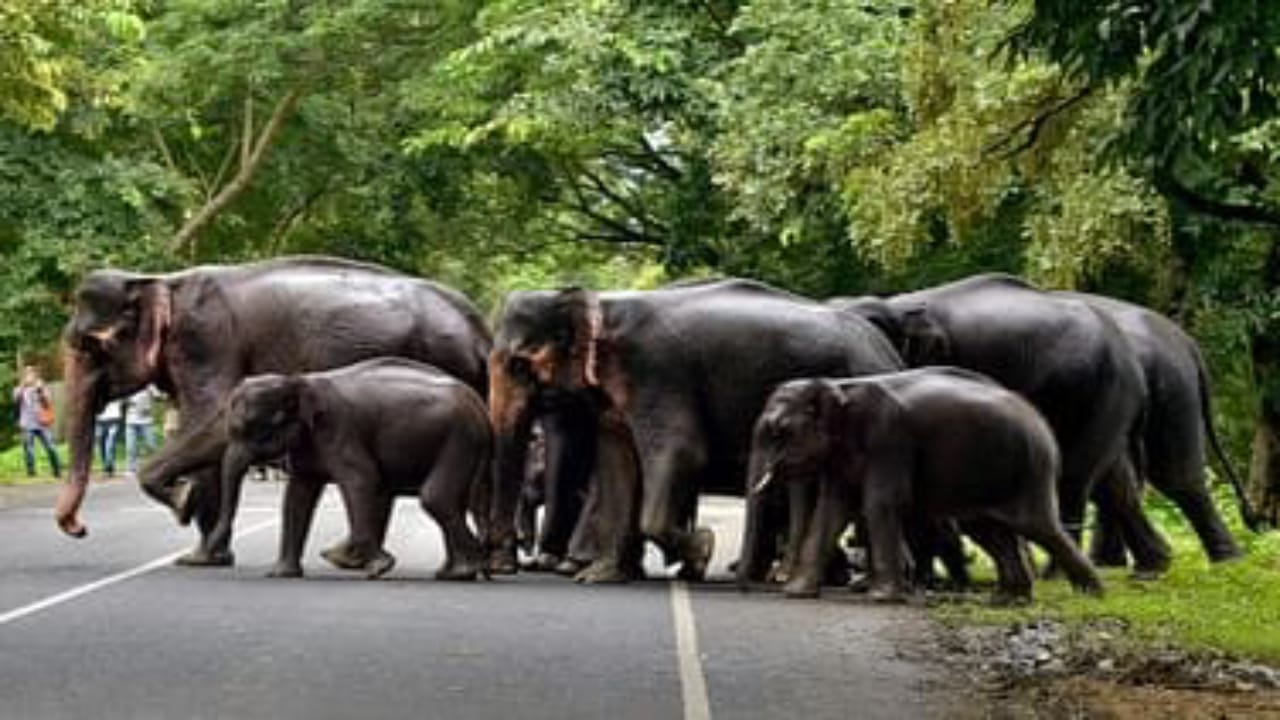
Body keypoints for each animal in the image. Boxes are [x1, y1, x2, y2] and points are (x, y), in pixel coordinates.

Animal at [210, 358, 489, 580]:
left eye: (254, 429)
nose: (217, 553)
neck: (298, 380)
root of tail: (479, 405)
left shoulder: (338, 428)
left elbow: (361, 480)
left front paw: (376, 566)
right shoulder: (308, 441)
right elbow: (297, 495)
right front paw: (280, 574)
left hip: (459, 439)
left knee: (436, 499)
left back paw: (470, 568)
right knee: (450, 503)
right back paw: (453, 573)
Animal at [487, 279, 904, 583]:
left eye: (518, 365)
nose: (501, 567)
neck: (600, 301)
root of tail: (888, 351)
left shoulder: (656, 372)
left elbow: (681, 451)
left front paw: (702, 551)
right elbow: (619, 464)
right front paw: (601, 576)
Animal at [748, 369, 1103, 603]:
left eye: (779, 430)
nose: (771, 582)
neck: (839, 387)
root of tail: (1039, 419)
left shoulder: (889, 438)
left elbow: (880, 503)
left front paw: (882, 598)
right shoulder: (840, 455)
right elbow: (831, 508)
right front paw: (796, 594)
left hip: (1029, 468)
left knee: (1037, 526)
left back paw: (1092, 594)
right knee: (986, 529)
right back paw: (1009, 600)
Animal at [832, 273, 1173, 576]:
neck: (902, 305)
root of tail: (1132, 363)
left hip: (1100, 393)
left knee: (1075, 478)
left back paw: (1055, 575)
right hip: (1106, 402)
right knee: (1114, 479)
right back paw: (1153, 566)